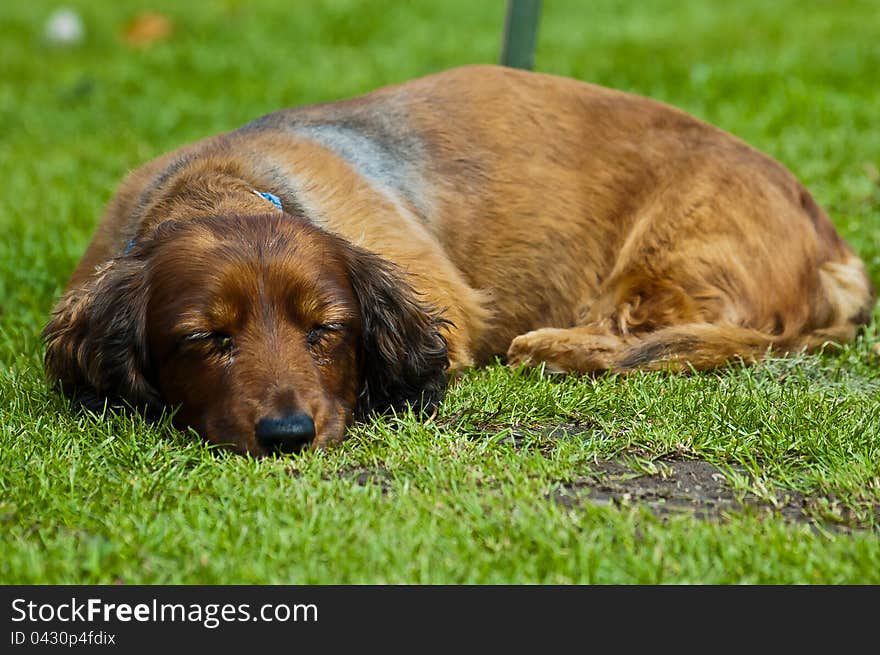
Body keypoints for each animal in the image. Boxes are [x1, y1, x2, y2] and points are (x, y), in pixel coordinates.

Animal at [44, 65, 876, 456]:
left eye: (327, 330)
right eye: (204, 339)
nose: (287, 434)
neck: (226, 183)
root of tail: (831, 243)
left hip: (672, 249)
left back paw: (553, 346)